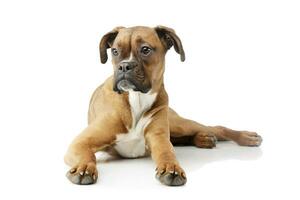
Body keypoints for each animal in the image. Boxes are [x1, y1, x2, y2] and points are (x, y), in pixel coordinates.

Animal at [64, 25, 262, 186]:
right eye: (114, 51)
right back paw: (204, 139)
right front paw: (83, 167)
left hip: (178, 124)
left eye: (145, 49)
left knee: (216, 128)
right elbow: (87, 154)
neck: (136, 99)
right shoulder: (80, 143)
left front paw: (170, 167)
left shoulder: (159, 138)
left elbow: (167, 153)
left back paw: (244, 137)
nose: (124, 66)